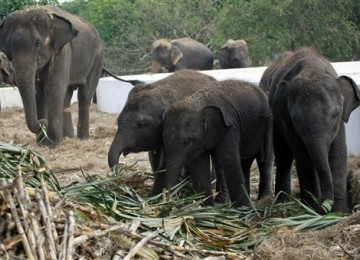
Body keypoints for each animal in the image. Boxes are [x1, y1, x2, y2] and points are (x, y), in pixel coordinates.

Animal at [0, 5, 104, 146]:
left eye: (38, 43)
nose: (43, 122)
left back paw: (83, 139)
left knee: (85, 94)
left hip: (97, 57)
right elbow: (38, 92)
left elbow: (53, 88)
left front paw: (53, 145)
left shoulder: (63, 51)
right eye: (10, 50)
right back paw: (68, 137)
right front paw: (43, 144)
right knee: (67, 95)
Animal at [266, 47, 360, 213]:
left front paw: (339, 212)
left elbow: (338, 152)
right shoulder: (288, 122)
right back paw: (283, 203)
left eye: (335, 114)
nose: (323, 204)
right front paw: (311, 208)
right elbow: (303, 156)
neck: (312, 69)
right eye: (295, 119)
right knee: (283, 156)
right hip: (276, 122)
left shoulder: (340, 123)